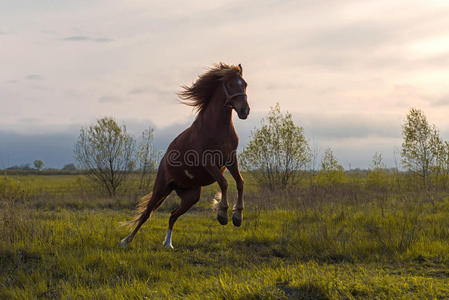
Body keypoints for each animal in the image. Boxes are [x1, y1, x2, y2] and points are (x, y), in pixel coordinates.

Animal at [121, 63, 250, 248]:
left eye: (244, 84)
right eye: (231, 84)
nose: (244, 110)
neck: (217, 128)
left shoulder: (231, 159)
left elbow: (240, 183)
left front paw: (237, 217)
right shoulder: (208, 162)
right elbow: (224, 183)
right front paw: (222, 214)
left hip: (191, 196)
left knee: (173, 214)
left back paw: (168, 244)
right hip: (161, 189)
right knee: (147, 213)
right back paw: (126, 240)